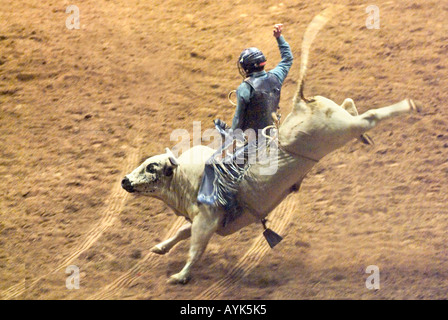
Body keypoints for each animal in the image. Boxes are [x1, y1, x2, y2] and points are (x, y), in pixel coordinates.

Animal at [121, 8, 422, 284]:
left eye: (152, 167)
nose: (124, 181)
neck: (185, 180)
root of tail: (302, 102)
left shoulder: (207, 220)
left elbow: (194, 247)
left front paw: (180, 276)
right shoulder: (198, 219)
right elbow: (182, 233)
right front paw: (160, 248)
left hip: (339, 130)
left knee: (370, 117)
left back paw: (408, 105)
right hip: (338, 117)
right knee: (350, 106)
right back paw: (366, 133)